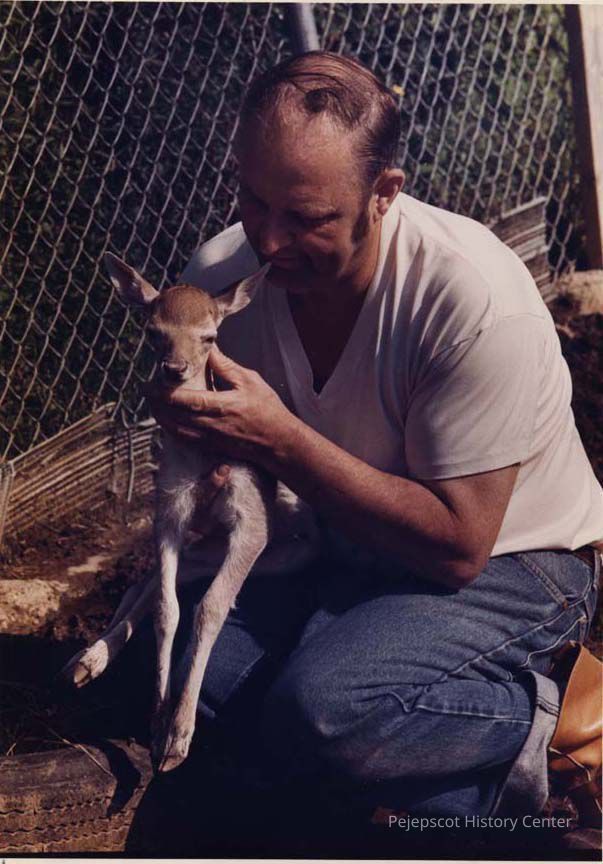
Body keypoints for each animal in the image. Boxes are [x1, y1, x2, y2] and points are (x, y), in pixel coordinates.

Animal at [62, 253, 318, 772]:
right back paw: (85, 661)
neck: (201, 457)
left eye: (211, 336)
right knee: (146, 586)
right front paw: (158, 718)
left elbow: (210, 606)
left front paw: (178, 735)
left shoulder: (251, 520)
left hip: (272, 550)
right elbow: (168, 608)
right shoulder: (168, 509)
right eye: (153, 330)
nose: (176, 368)